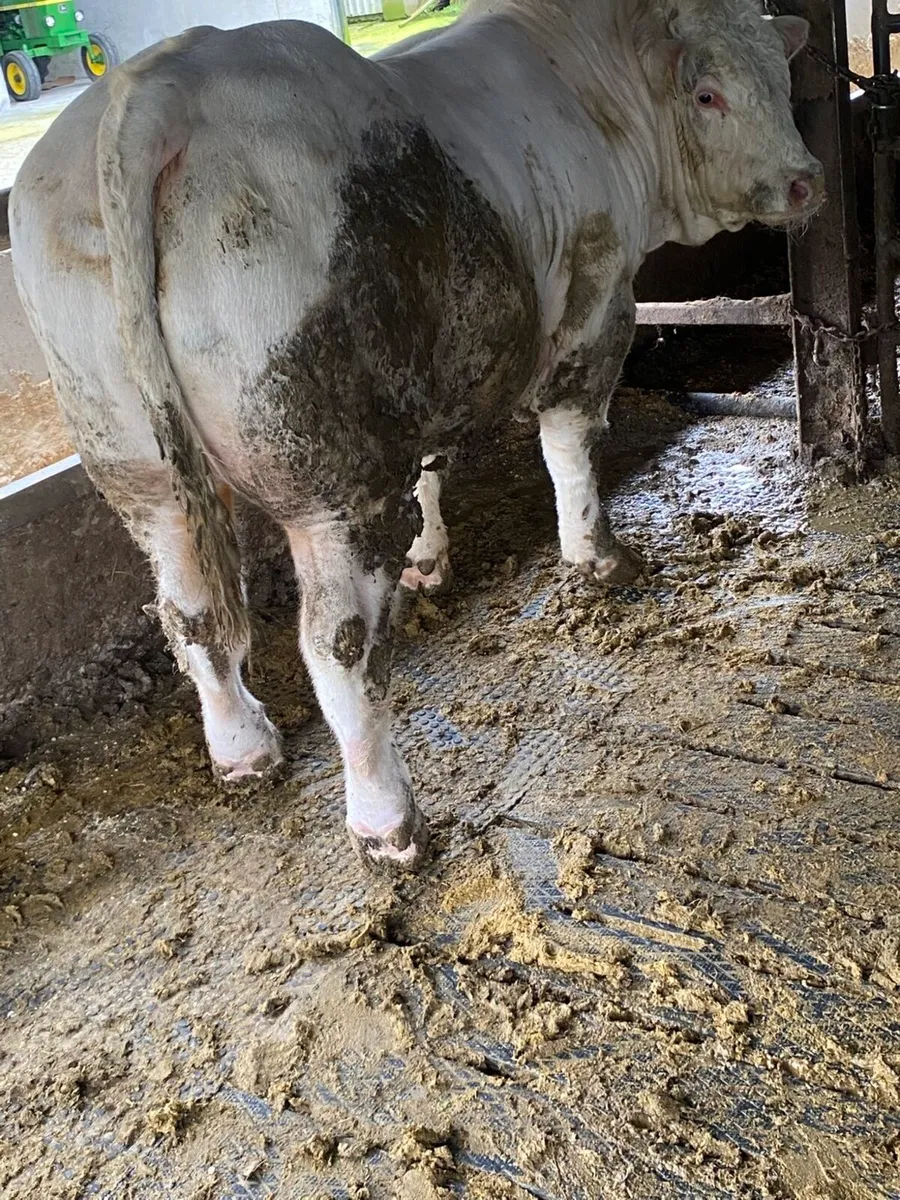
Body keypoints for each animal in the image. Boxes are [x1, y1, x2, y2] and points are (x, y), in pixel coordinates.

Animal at [10, 0, 822, 871]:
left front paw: (429, 562)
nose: (805, 177)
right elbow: (570, 442)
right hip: (332, 485)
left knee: (190, 612)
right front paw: (596, 557)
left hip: (137, 462)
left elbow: (431, 469)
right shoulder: (598, 298)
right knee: (336, 644)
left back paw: (243, 750)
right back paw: (387, 822)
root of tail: (160, 81)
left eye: (781, 75)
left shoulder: (432, 365)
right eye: (708, 94)